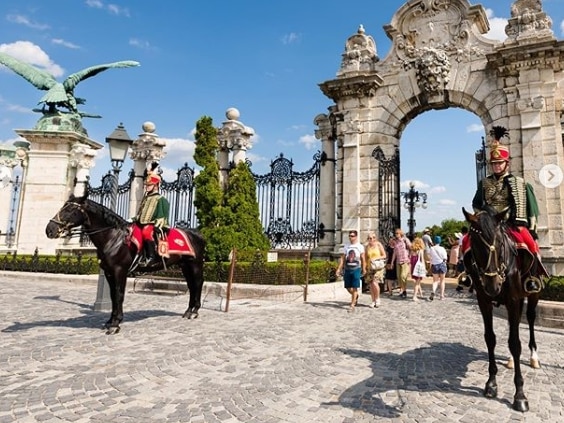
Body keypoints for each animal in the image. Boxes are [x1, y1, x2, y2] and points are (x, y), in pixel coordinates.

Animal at [45, 195, 205, 334]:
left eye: (70, 210)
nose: (49, 230)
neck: (113, 238)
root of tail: (197, 233)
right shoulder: (109, 272)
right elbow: (112, 295)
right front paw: (110, 321)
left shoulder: (119, 271)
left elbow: (119, 295)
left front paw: (115, 324)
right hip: (185, 265)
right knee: (191, 285)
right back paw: (189, 310)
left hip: (195, 264)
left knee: (198, 283)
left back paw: (194, 311)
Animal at [462, 207, 540, 412]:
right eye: (474, 244)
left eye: (499, 242)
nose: (493, 285)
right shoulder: (483, 301)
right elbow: (490, 339)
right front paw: (491, 384)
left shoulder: (514, 300)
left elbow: (515, 343)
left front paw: (520, 395)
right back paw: (512, 361)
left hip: (533, 293)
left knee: (530, 319)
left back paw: (534, 356)